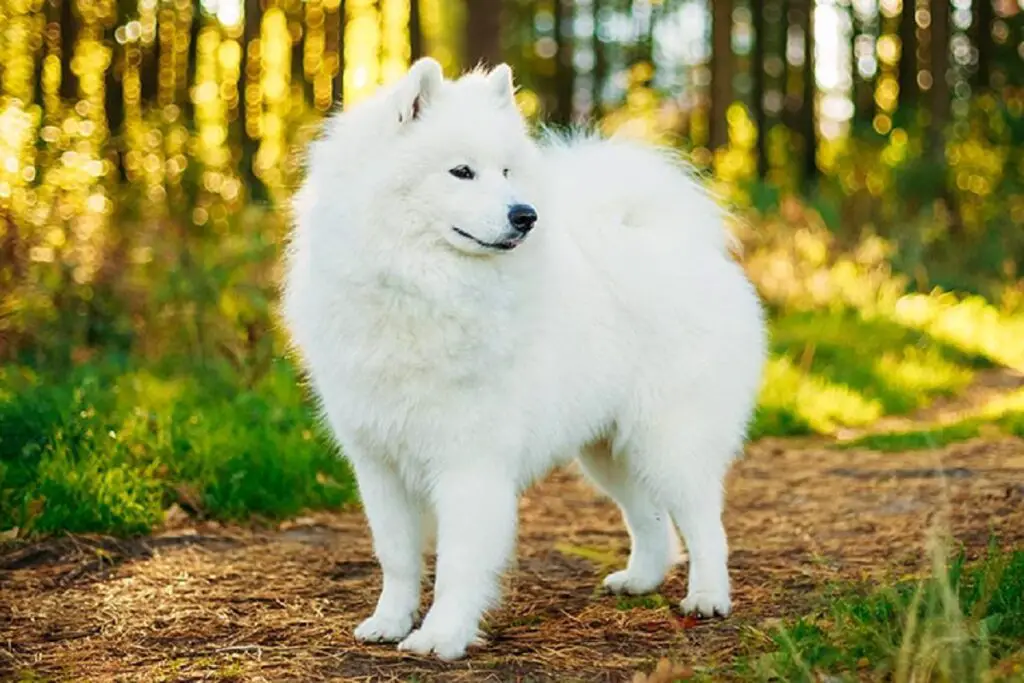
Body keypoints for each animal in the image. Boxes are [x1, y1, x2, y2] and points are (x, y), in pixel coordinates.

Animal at [284, 60, 765, 663]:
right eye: (461, 172)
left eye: (507, 171)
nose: (526, 215)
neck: (420, 284)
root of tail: (685, 249)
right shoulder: (379, 462)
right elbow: (396, 555)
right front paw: (390, 622)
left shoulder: (469, 461)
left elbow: (458, 563)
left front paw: (441, 636)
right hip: (609, 450)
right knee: (650, 520)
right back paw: (640, 580)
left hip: (669, 440)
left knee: (705, 524)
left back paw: (707, 597)